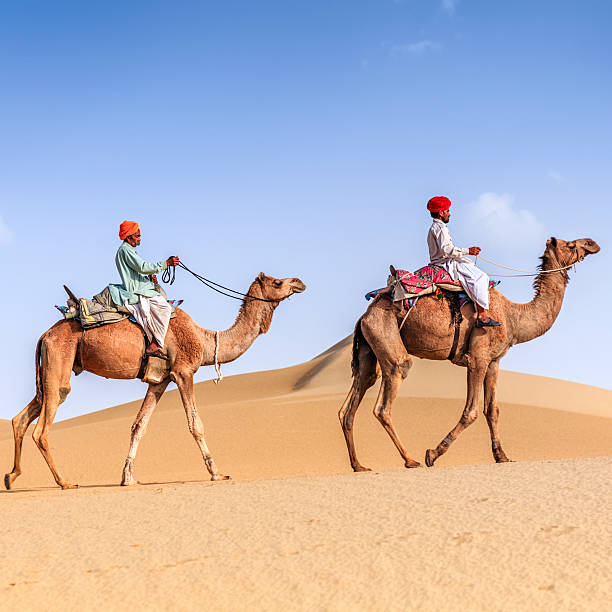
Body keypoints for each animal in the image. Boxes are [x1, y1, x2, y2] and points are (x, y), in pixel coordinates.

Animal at [4, 270, 306, 490]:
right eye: (277, 281)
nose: (299, 282)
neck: (205, 340)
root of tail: (45, 335)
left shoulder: (159, 381)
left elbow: (139, 425)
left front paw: (128, 478)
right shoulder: (184, 372)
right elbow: (196, 424)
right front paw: (217, 473)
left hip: (48, 370)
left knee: (22, 418)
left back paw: (11, 476)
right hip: (59, 362)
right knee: (42, 427)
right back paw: (65, 482)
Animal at [338, 237, 600, 470]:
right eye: (571, 245)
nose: (593, 244)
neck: (514, 316)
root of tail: (365, 315)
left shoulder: (494, 362)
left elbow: (492, 410)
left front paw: (502, 456)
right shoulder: (478, 358)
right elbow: (471, 411)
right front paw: (433, 453)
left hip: (370, 347)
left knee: (354, 397)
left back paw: (358, 465)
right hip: (387, 338)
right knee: (386, 398)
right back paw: (410, 460)